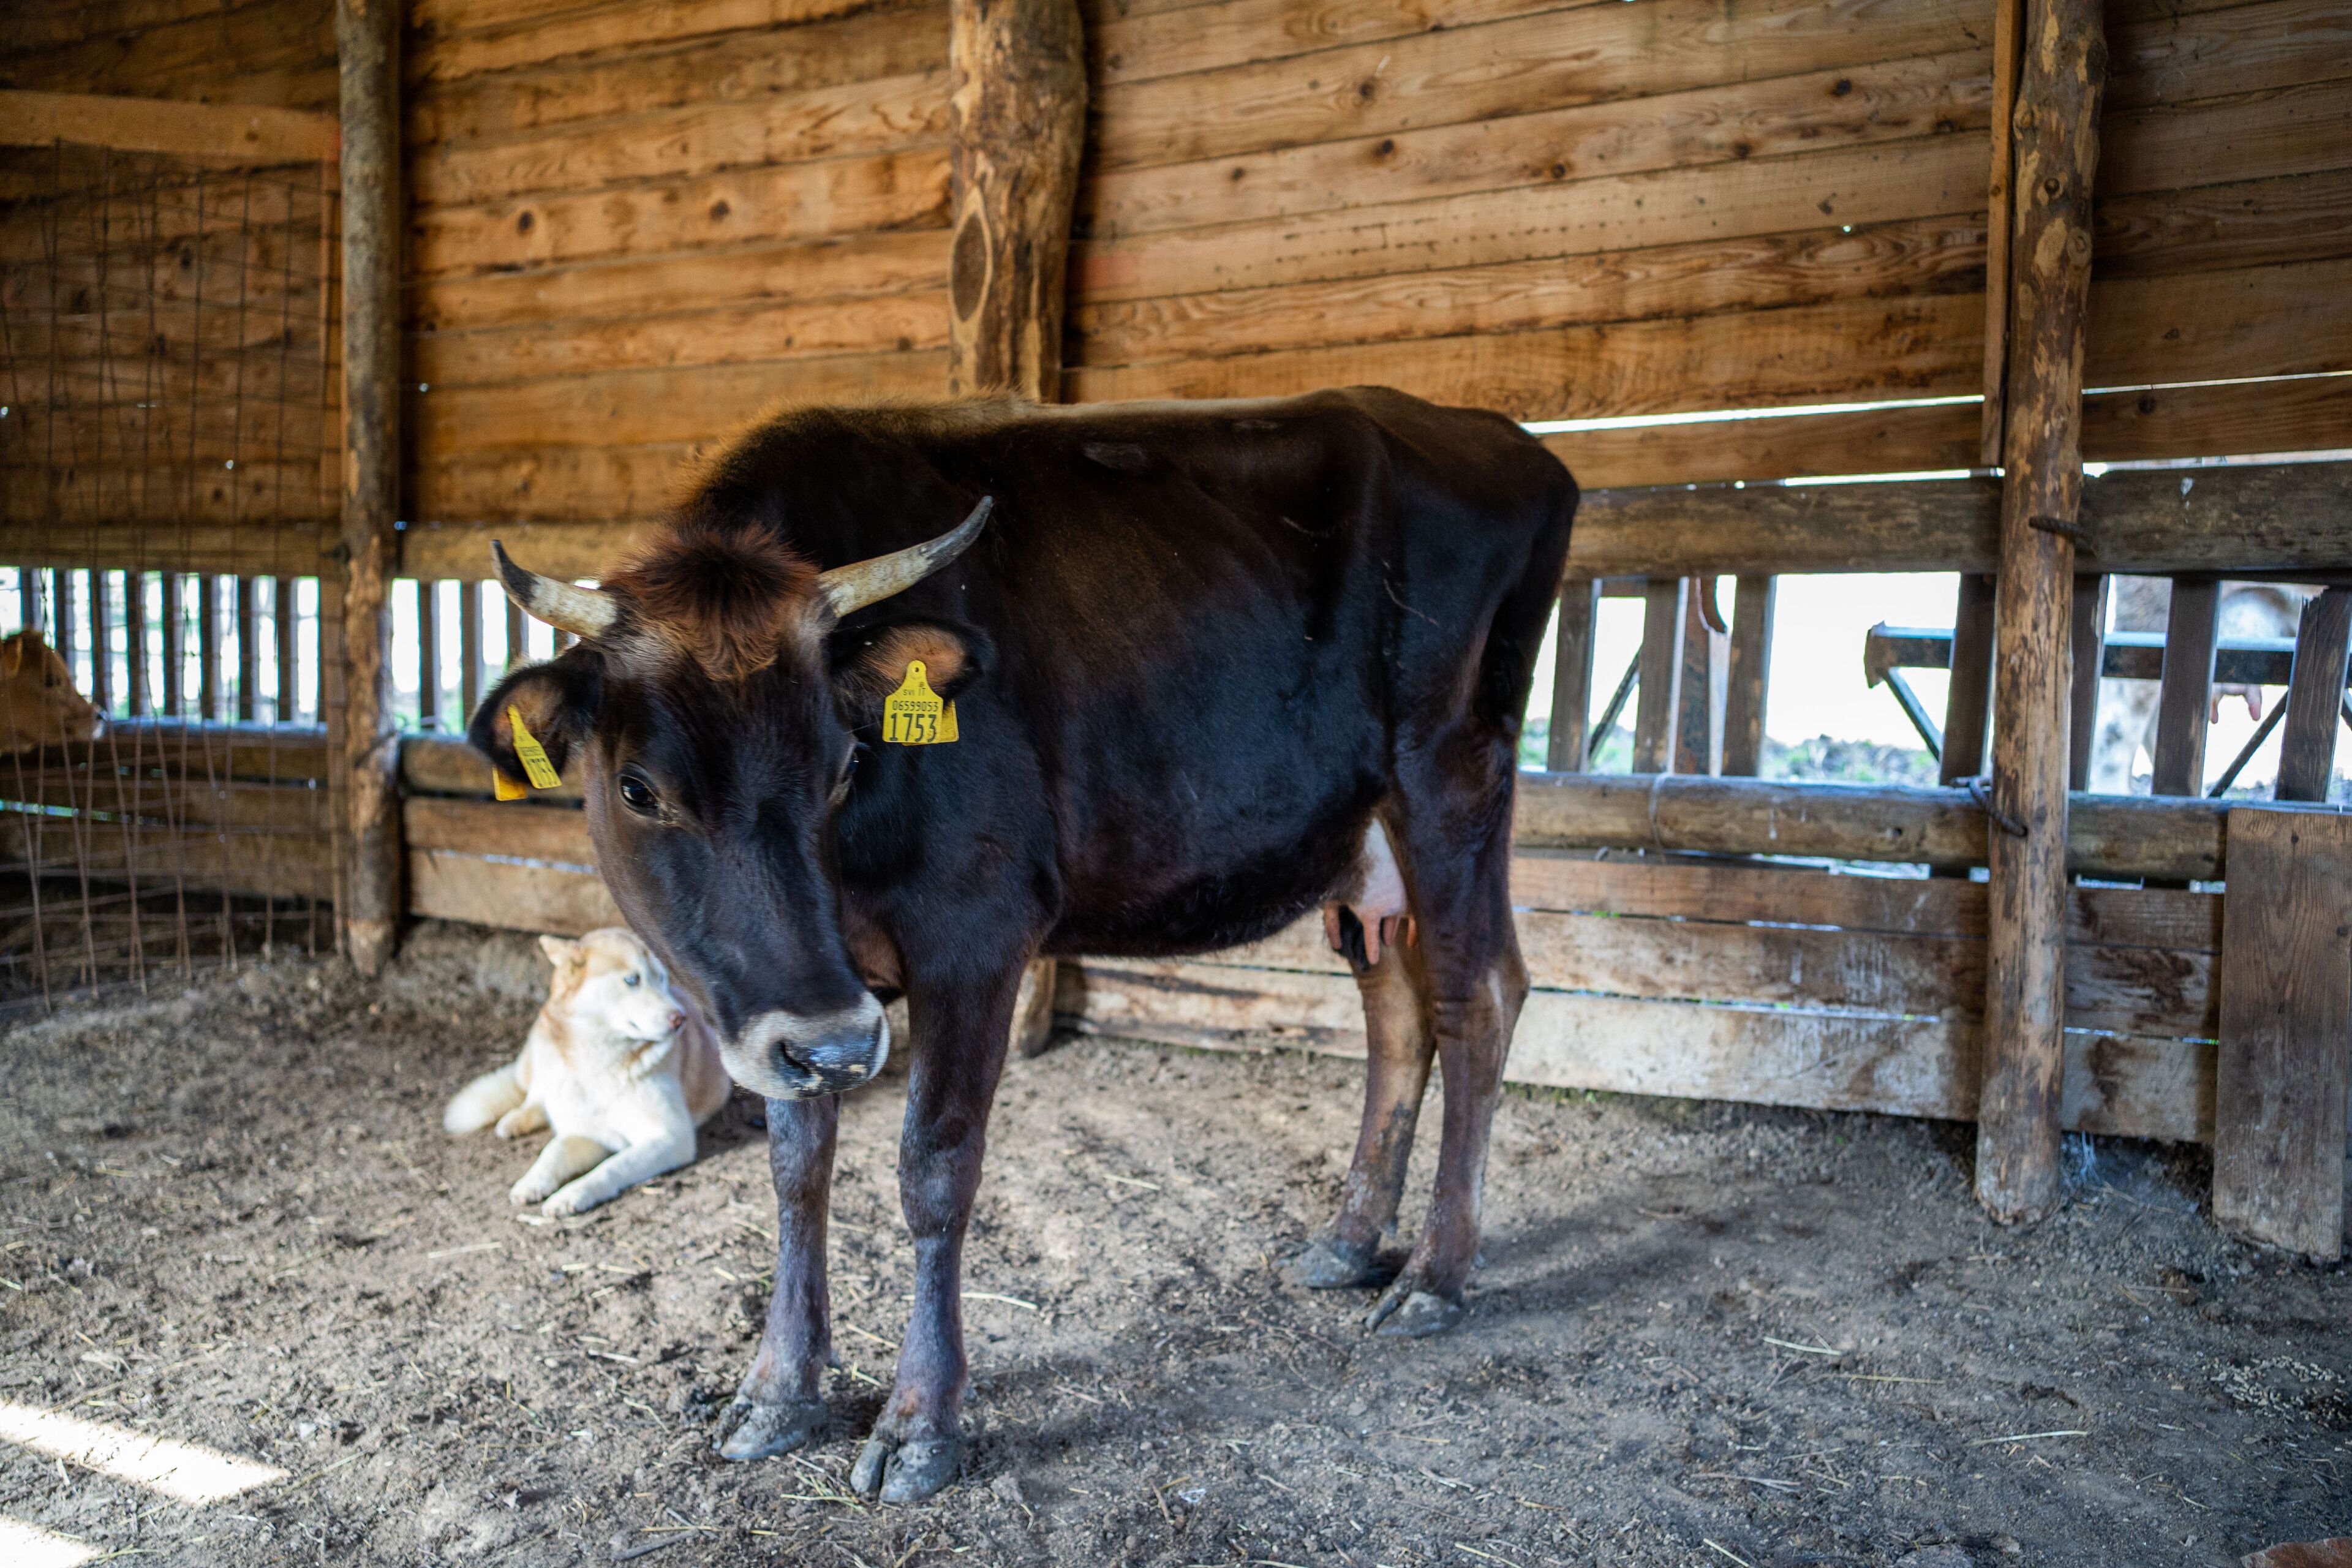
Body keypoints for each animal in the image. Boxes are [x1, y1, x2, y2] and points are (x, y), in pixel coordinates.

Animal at [470, 389, 1577, 1502]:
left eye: (845, 763)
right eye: (638, 788)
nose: (835, 1046)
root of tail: (1487, 431)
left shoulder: (974, 939)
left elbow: (934, 1171)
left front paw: (921, 1423)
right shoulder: (800, 1008)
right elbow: (795, 1171)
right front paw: (779, 1390)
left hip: (1452, 778)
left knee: (1479, 998)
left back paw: (1435, 1276)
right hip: (1364, 847)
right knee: (1398, 1014)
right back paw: (1350, 1246)